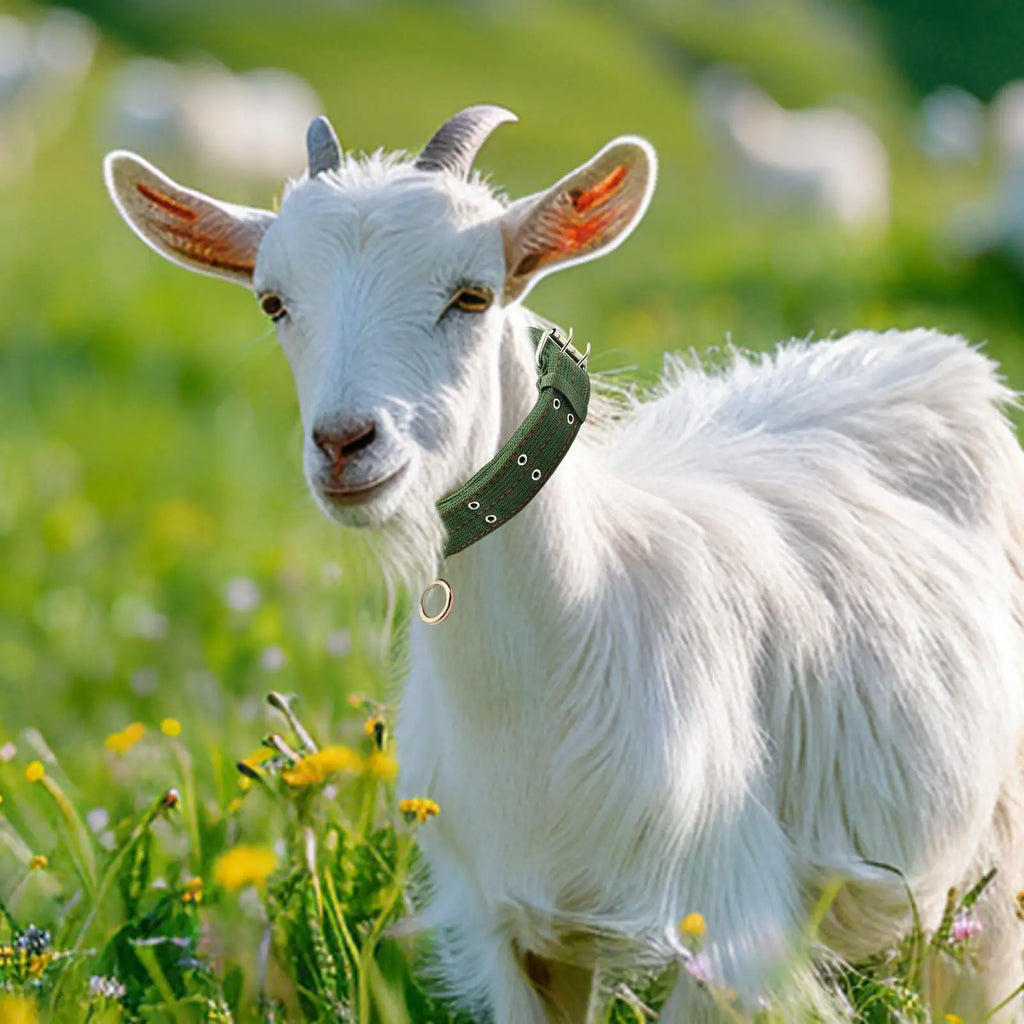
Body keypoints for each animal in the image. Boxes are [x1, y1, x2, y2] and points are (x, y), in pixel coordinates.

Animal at [103, 105, 1024, 1023]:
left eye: (472, 295)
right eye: (274, 302)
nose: (344, 443)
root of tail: (933, 351)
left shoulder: (726, 931)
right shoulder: (519, 933)